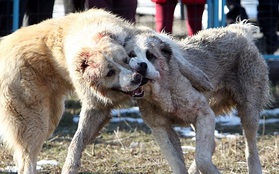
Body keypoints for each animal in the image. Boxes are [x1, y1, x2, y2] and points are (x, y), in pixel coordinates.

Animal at [0, 8, 158, 173]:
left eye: (126, 60)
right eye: (110, 73)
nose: (137, 78)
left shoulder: (97, 111)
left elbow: (78, 141)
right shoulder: (94, 106)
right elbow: (76, 141)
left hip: (52, 115)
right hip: (35, 121)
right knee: (27, 159)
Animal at [129, 23, 272, 174]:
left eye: (150, 55)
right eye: (131, 55)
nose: (141, 65)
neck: (163, 92)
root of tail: (239, 30)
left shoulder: (204, 114)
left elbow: (202, 158)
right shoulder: (160, 128)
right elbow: (177, 162)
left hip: (248, 110)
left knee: (250, 146)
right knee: (212, 143)